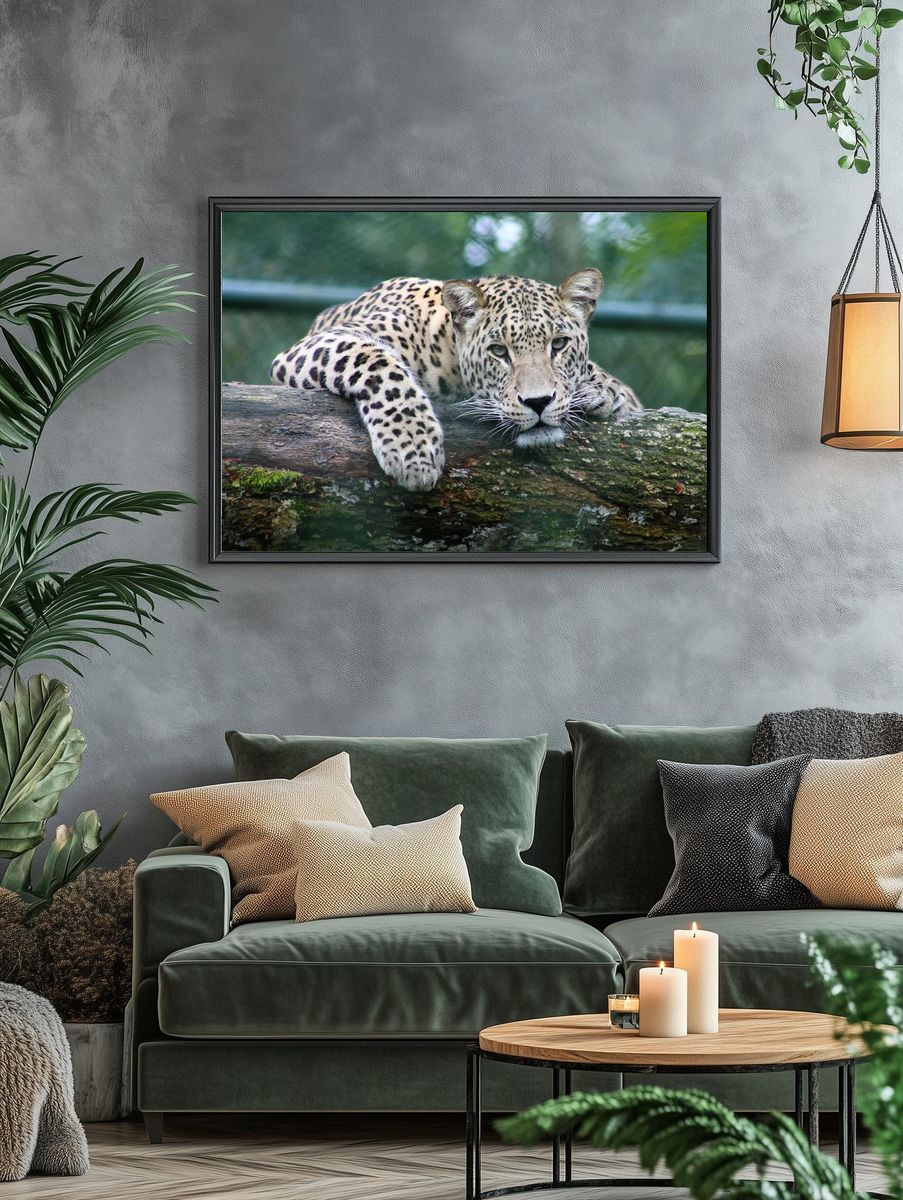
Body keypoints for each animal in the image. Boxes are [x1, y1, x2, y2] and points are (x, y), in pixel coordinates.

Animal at [270, 267, 641, 491]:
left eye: (559, 344)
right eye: (498, 351)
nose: (538, 402)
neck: (447, 348)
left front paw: (606, 390)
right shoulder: (319, 344)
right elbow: (379, 363)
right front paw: (413, 448)